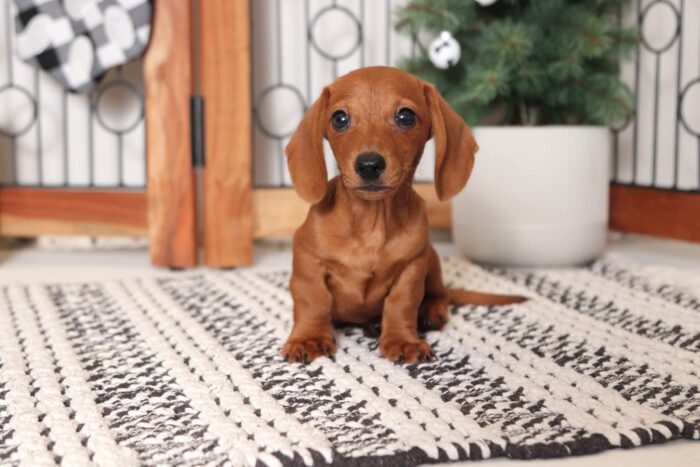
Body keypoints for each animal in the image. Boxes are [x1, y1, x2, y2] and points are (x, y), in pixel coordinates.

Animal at [282, 66, 524, 366]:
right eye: (339, 119)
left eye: (405, 116)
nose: (369, 165)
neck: (371, 224)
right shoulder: (307, 259)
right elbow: (313, 300)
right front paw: (309, 337)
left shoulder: (412, 266)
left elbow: (402, 303)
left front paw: (402, 339)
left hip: (431, 256)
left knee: (440, 293)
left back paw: (426, 314)